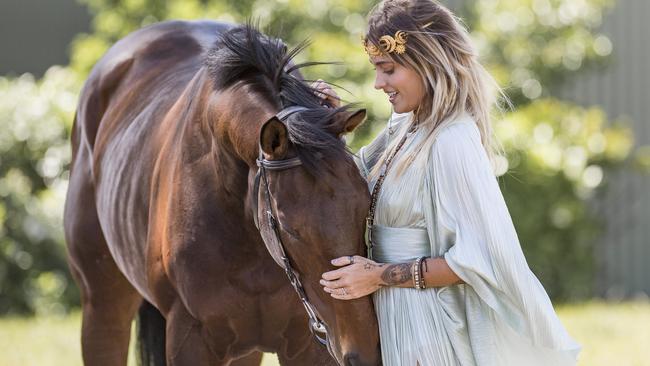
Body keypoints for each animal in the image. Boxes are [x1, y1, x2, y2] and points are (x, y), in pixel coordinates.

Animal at [64, 20, 380, 366]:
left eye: (364, 211)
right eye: (289, 229)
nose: (365, 351)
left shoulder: (308, 345)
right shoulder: (190, 339)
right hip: (103, 306)